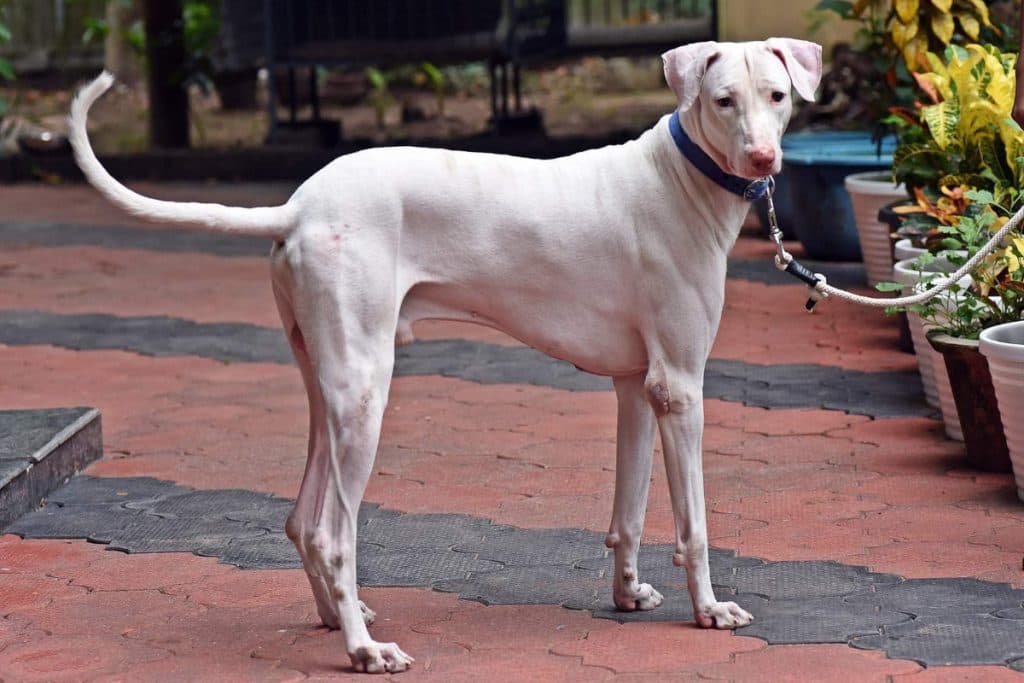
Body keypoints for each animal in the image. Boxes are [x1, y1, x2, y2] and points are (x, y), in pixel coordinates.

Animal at [68, 38, 821, 673]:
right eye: (723, 99)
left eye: (778, 95)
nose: (764, 161)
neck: (680, 178)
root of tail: (299, 207)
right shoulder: (681, 388)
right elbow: (694, 524)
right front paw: (709, 609)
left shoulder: (637, 386)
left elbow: (628, 516)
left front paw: (629, 594)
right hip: (364, 398)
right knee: (335, 534)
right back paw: (364, 649)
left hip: (327, 389)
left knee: (304, 520)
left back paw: (338, 618)